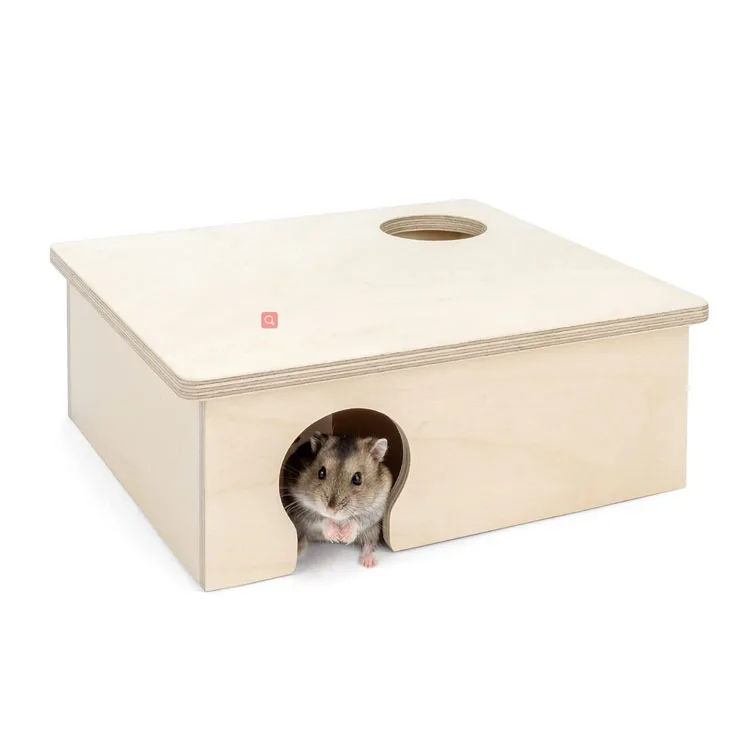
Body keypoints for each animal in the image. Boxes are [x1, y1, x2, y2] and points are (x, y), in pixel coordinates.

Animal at [281, 431, 392, 567]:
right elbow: (322, 519)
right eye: (321, 472)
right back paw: (298, 550)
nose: (331, 510)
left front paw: (344, 538)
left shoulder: (376, 508)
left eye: (357, 478)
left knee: (369, 543)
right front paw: (336, 536)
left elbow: (356, 521)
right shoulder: (301, 505)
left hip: (373, 530)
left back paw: (368, 562)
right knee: (304, 538)